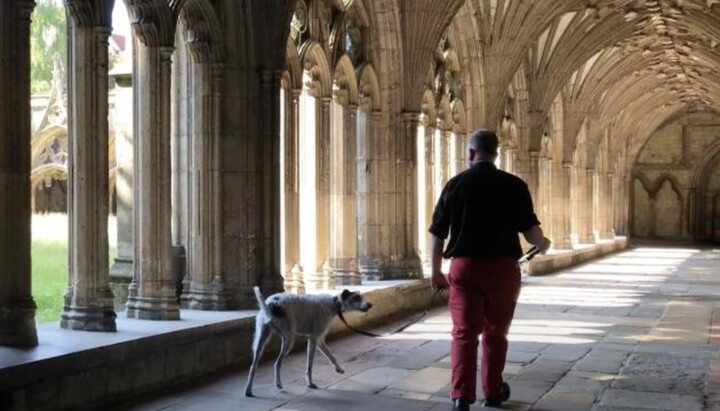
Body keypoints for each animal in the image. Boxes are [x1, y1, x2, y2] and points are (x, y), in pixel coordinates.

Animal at [245, 284, 374, 398]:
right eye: (356, 297)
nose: (370, 304)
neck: (334, 303)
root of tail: (272, 304)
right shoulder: (313, 339)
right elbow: (310, 365)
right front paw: (310, 383)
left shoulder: (320, 340)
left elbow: (331, 356)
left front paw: (339, 369)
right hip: (288, 340)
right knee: (277, 363)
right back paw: (277, 383)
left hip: (261, 341)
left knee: (253, 367)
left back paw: (249, 390)